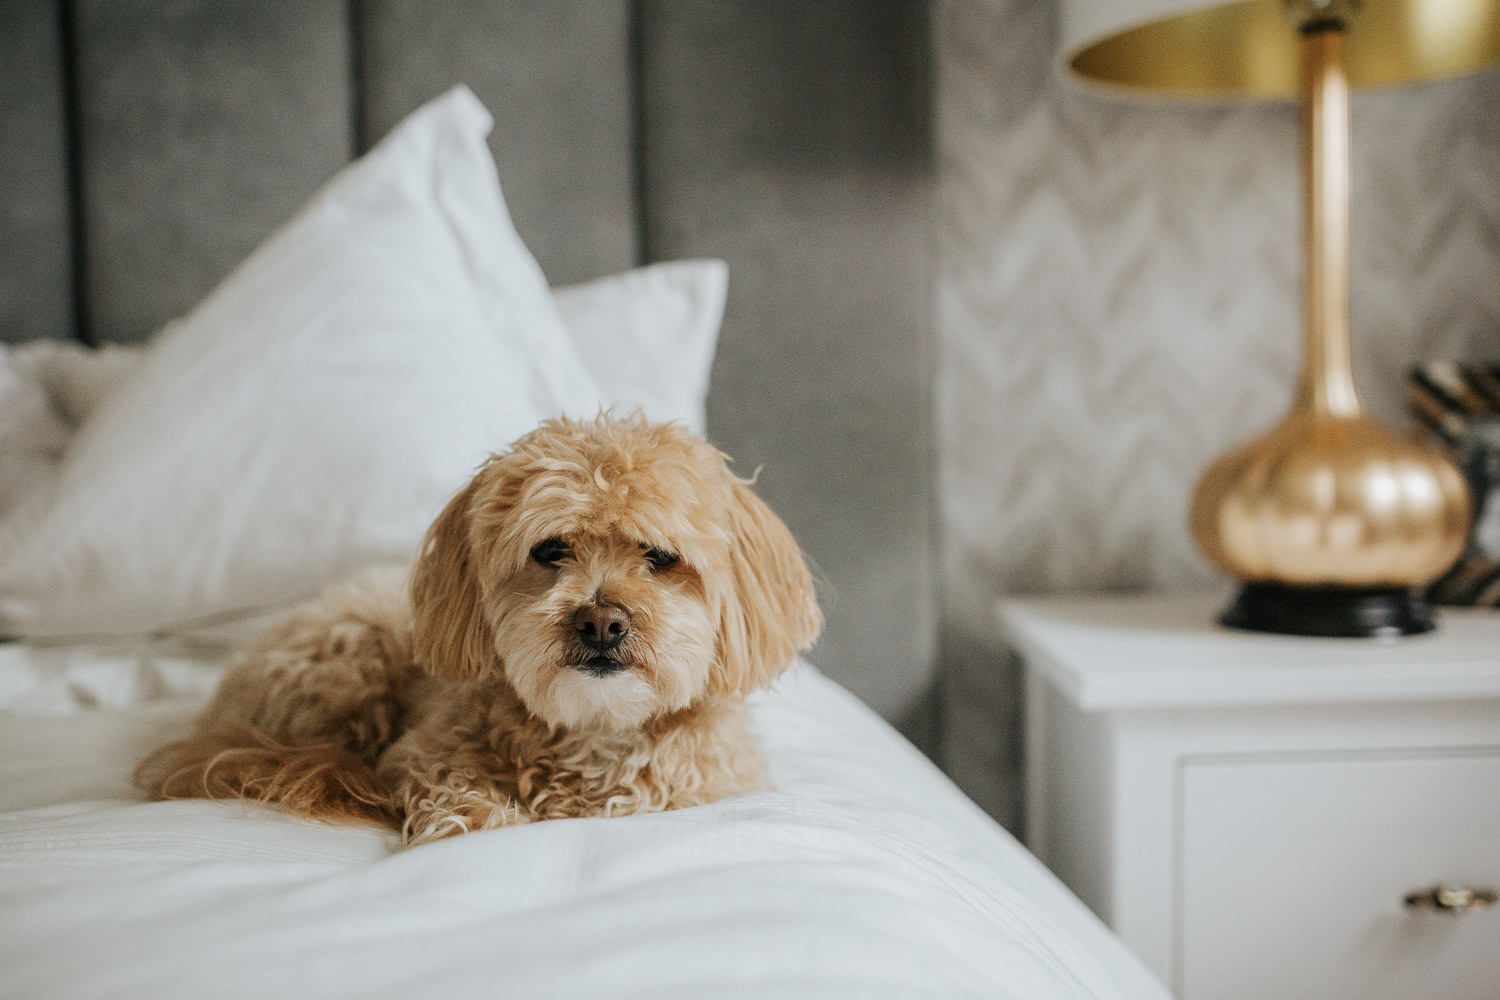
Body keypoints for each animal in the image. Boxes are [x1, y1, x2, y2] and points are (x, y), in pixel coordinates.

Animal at [136, 413, 822, 845]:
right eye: (550, 550)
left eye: (658, 555)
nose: (601, 622)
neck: (595, 731)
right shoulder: (421, 753)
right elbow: (453, 789)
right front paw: (481, 817)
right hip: (350, 659)